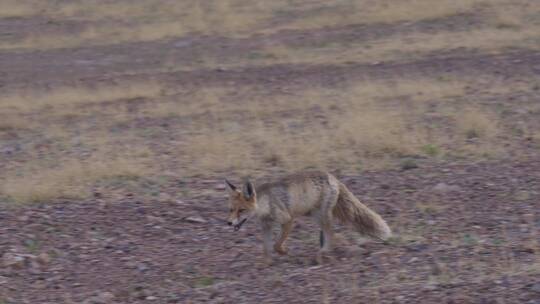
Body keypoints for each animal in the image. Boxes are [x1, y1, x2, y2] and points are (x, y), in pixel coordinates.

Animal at [224, 171, 392, 264]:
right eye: (231, 210)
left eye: (241, 210)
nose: (229, 223)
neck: (266, 204)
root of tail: (333, 177)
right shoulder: (266, 226)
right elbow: (266, 248)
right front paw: (265, 263)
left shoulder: (288, 220)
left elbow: (276, 245)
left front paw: (286, 253)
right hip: (315, 216)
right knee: (330, 235)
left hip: (321, 217)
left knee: (331, 235)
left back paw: (322, 254)